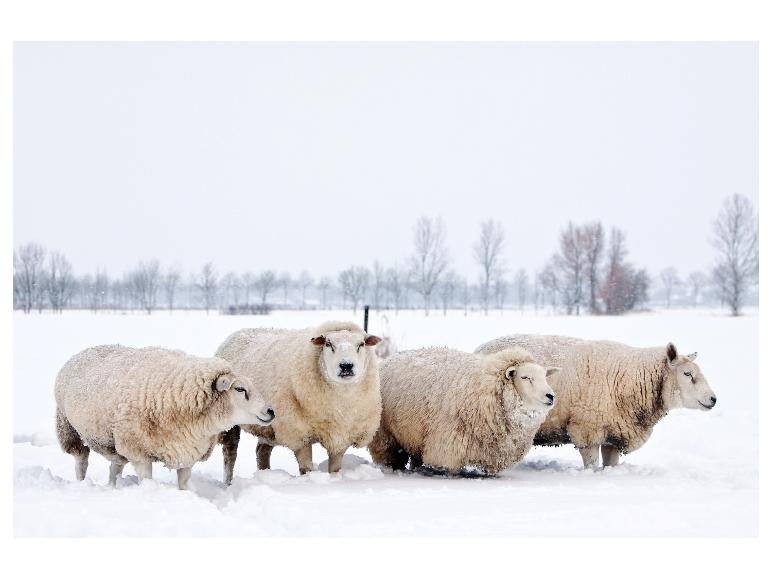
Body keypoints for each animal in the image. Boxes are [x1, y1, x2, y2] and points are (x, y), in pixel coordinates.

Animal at [54, 345, 275, 489]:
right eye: (240, 389)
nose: (271, 411)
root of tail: (82, 352)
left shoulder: (187, 451)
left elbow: (183, 483)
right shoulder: (138, 452)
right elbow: (147, 480)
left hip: (115, 440)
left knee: (115, 466)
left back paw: (112, 486)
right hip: (69, 428)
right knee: (81, 460)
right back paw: (81, 483)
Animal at [215, 321, 382, 482]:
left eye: (361, 344)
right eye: (328, 344)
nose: (346, 365)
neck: (341, 403)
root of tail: (237, 333)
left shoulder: (342, 436)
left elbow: (335, 469)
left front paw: (335, 479)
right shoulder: (298, 434)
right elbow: (306, 469)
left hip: (268, 426)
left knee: (261, 451)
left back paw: (265, 474)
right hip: (232, 423)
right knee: (230, 453)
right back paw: (228, 482)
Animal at [368, 347, 560, 475]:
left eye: (545, 377)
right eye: (525, 377)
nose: (551, 396)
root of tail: (388, 359)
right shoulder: (448, 446)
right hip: (385, 436)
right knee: (389, 456)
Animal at [474, 335, 718, 468]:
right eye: (687, 374)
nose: (713, 399)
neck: (631, 376)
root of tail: (479, 348)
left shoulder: (616, 432)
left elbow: (610, 463)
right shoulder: (587, 428)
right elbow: (591, 464)